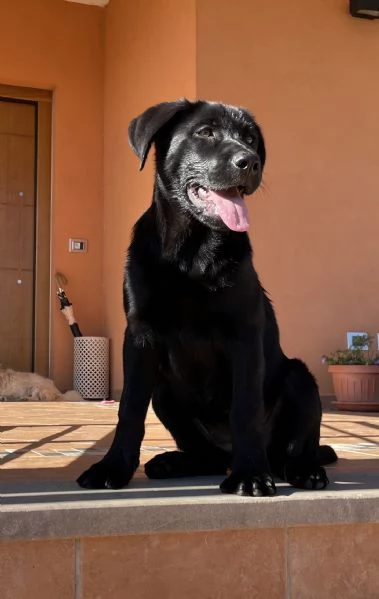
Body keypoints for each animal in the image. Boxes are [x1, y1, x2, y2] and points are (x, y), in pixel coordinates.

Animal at [76, 101, 336, 500]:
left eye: (250, 139)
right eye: (206, 132)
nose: (250, 162)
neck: (193, 252)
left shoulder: (244, 334)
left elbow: (245, 409)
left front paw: (250, 474)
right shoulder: (139, 335)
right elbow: (129, 409)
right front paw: (113, 468)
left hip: (300, 379)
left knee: (291, 450)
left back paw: (301, 469)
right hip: (164, 392)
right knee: (209, 456)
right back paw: (174, 463)